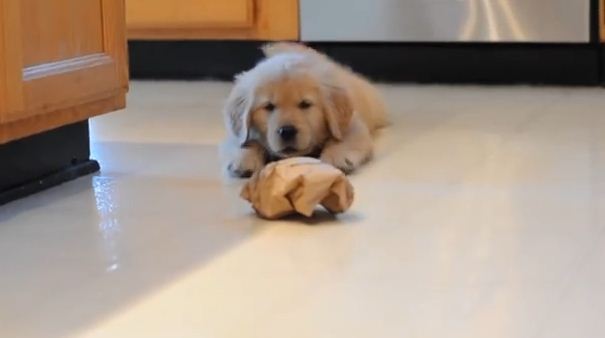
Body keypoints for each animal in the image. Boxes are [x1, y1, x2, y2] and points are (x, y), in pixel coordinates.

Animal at [222, 42, 386, 177]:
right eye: (269, 106)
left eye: (305, 104)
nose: (287, 131)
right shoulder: (236, 132)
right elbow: (244, 140)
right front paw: (244, 159)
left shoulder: (353, 125)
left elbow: (343, 137)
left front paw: (337, 158)